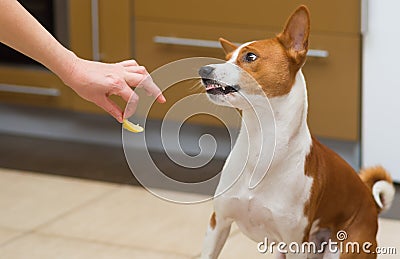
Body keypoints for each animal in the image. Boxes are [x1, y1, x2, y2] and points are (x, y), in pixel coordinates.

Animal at [198, 4, 396, 259]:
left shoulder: (295, 242)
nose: (203, 68)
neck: (262, 142)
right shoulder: (218, 223)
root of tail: (371, 204)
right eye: (226, 58)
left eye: (250, 56)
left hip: (341, 249)